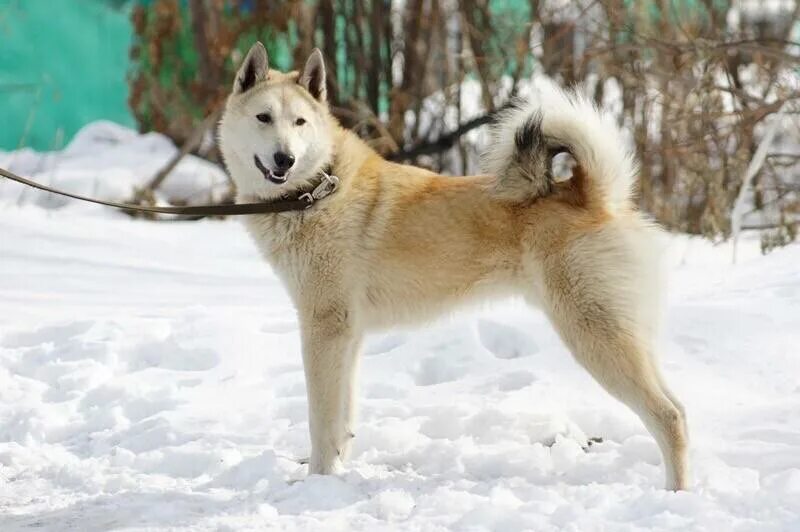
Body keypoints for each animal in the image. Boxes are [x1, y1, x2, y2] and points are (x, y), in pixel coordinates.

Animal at [217, 41, 688, 490]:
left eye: (299, 123)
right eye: (263, 117)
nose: (284, 159)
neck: (316, 189)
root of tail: (592, 195)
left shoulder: (323, 330)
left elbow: (321, 422)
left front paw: (315, 483)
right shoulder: (348, 337)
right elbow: (342, 423)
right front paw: (333, 477)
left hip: (595, 336)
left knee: (669, 416)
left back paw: (675, 495)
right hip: (624, 336)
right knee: (679, 407)